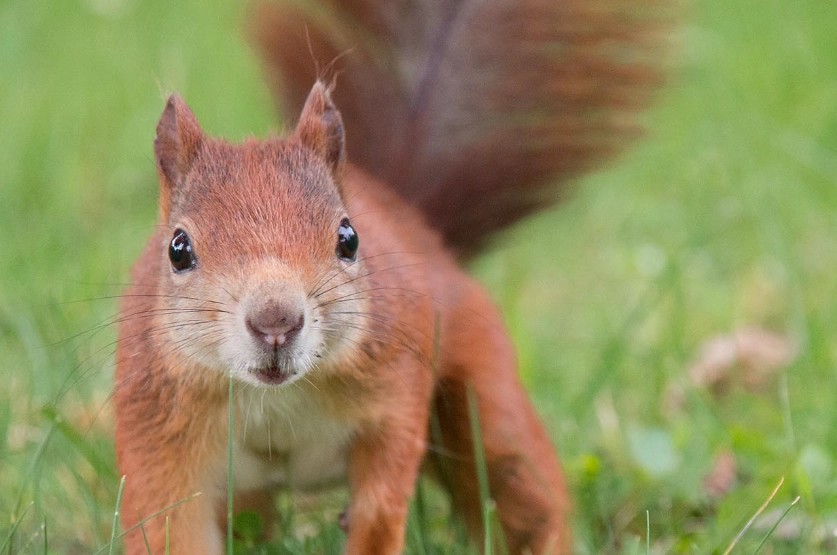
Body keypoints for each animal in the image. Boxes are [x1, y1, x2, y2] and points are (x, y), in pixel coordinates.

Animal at [113, 0, 662, 553]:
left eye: (349, 238)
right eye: (178, 250)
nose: (276, 322)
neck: (277, 397)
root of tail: (416, 225)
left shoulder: (395, 392)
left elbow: (383, 494)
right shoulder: (157, 431)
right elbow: (168, 525)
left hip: (481, 394)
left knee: (518, 486)